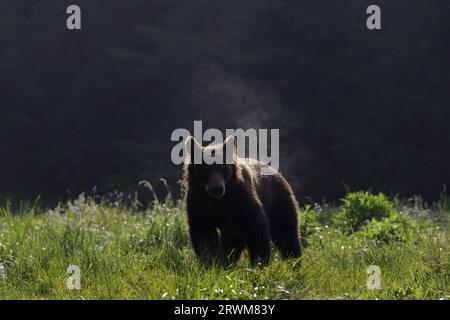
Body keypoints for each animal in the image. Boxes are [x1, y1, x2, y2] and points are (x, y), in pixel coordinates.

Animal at [183, 136, 302, 264]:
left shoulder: (241, 199)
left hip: (279, 201)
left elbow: (256, 225)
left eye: (223, 168)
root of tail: (277, 173)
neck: (218, 201)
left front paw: (259, 261)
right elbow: (202, 232)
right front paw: (210, 259)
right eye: (206, 169)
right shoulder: (198, 202)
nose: (217, 188)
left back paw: (294, 261)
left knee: (286, 233)